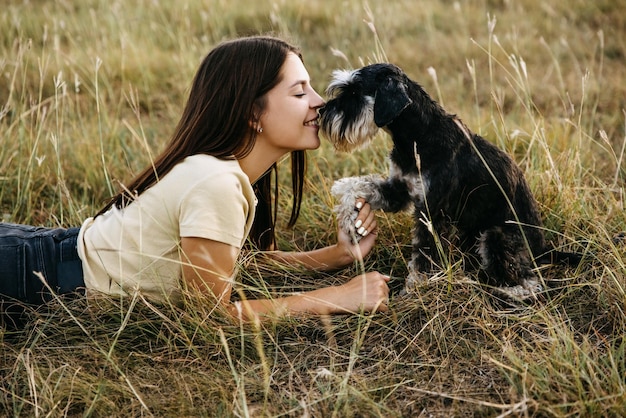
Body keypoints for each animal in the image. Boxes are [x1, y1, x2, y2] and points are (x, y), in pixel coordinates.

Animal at [320, 62, 576, 300]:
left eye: (354, 92)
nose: (322, 113)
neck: (418, 136)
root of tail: (543, 249)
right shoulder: (399, 189)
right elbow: (358, 184)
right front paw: (347, 214)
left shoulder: (431, 212)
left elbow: (424, 256)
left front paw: (414, 290)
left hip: (495, 237)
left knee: (529, 281)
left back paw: (501, 292)